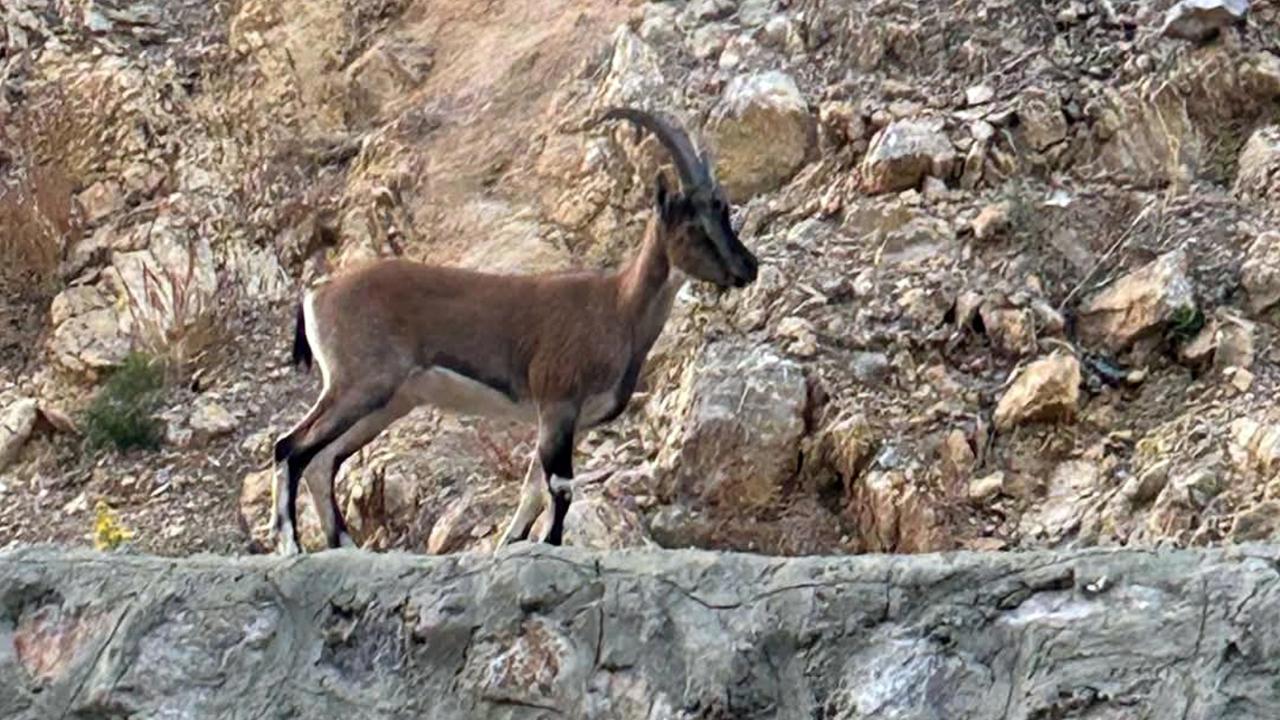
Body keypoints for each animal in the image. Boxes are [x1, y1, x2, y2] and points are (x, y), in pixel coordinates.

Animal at [264, 107, 752, 556]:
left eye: (724, 212)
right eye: (693, 224)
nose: (748, 268)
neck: (617, 307)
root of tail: (318, 295)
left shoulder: (573, 422)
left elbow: (533, 488)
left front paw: (510, 543)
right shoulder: (557, 404)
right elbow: (560, 487)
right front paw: (550, 545)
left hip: (388, 402)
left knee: (322, 459)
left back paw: (343, 545)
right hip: (361, 382)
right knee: (291, 446)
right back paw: (291, 546)